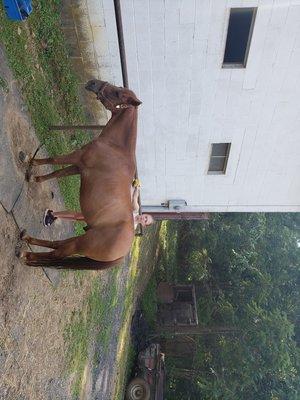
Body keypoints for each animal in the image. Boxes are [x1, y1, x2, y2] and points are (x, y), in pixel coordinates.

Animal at [19, 79, 142, 270]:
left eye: (118, 94)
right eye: (120, 88)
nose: (94, 82)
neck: (115, 147)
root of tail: (121, 255)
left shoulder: (76, 157)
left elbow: (54, 159)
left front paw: (29, 163)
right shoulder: (78, 167)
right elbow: (57, 172)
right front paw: (36, 177)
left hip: (80, 244)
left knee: (57, 253)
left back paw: (26, 254)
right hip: (79, 240)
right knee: (57, 244)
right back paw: (26, 238)